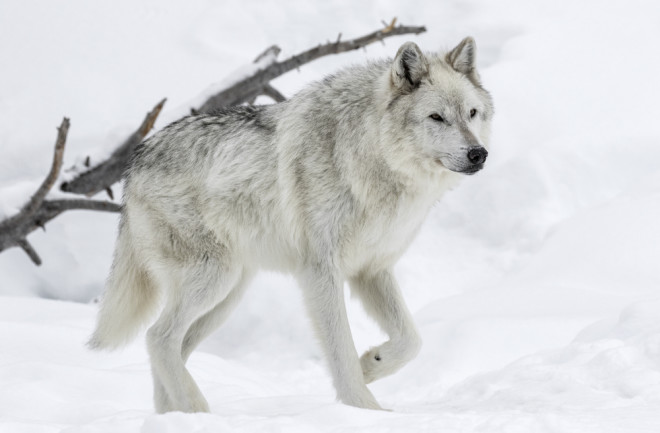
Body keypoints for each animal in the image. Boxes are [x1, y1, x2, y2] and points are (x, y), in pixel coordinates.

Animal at [87, 38, 492, 412]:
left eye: (472, 113)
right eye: (436, 117)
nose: (479, 154)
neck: (370, 159)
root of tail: (136, 160)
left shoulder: (373, 270)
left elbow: (412, 340)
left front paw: (371, 365)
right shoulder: (321, 272)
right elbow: (341, 351)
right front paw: (364, 409)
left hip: (227, 296)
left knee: (174, 347)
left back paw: (178, 417)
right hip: (213, 280)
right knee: (158, 337)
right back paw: (198, 408)